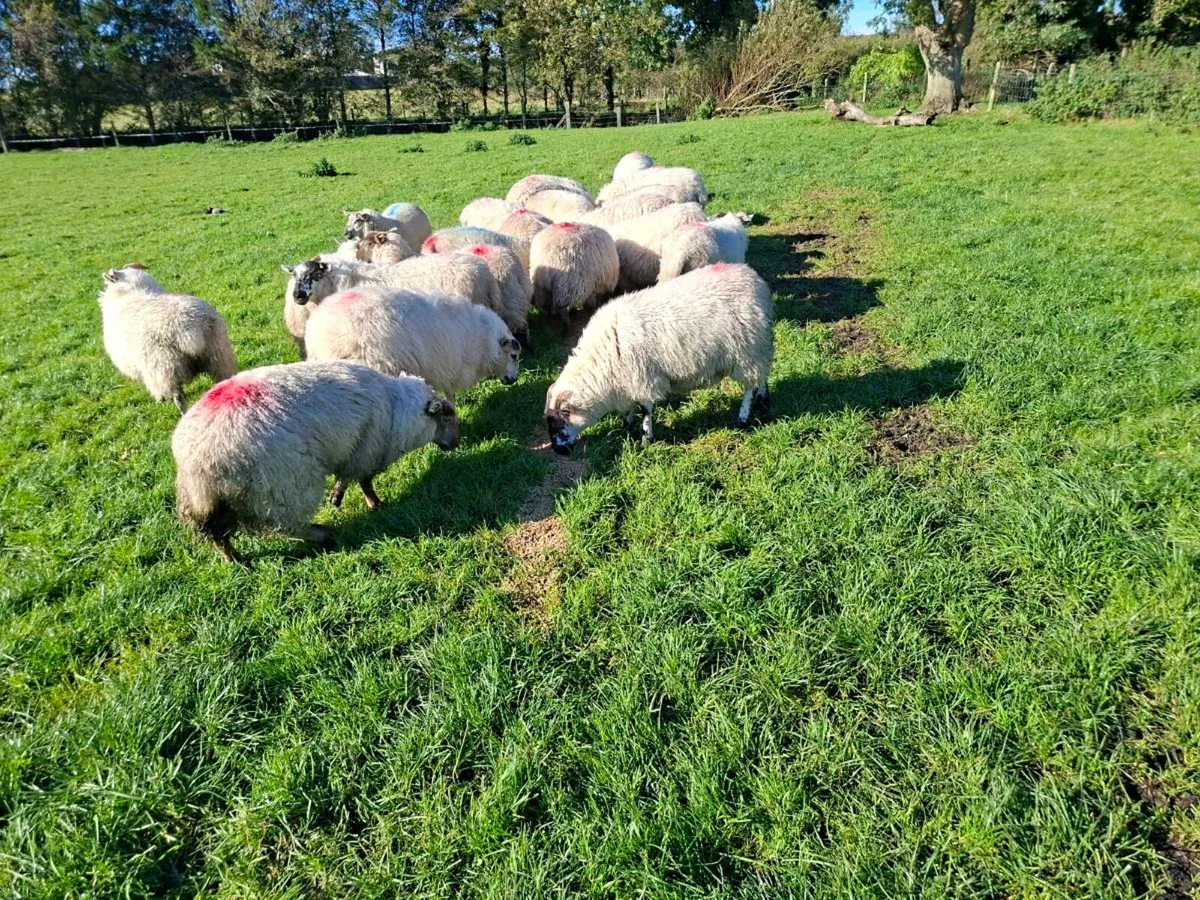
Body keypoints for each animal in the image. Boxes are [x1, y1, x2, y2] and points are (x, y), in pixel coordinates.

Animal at [99, 264, 238, 413]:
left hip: (165, 368)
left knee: (178, 398)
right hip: (219, 356)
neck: (131, 292)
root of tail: (189, 326)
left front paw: (160, 400)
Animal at [172, 360, 459, 561]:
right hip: (283, 486)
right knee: (286, 526)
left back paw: (233, 559)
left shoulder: (359, 454)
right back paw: (323, 534)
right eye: (446, 418)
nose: (456, 444)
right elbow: (361, 480)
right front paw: (366, 502)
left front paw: (354, 500)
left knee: (217, 533)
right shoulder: (364, 451)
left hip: (225, 500)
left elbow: (355, 479)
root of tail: (196, 461)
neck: (396, 411)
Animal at [305, 286, 521, 401]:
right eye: (513, 356)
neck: (484, 342)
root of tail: (316, 330)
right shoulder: (449, 366)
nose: (513, 380)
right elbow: (450, 394)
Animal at [544, 263, 772, 454]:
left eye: (557, 422)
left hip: (747, 351)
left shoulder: (643, 377)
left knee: (750, 386)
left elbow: (645, 409)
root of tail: (756, 281)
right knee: (762, 375)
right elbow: (629, 407)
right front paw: (625, 426)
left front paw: (646, 438)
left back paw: (742, 418)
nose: (558, 451)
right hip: (758, 348)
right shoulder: (626, 381)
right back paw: (763, 399)